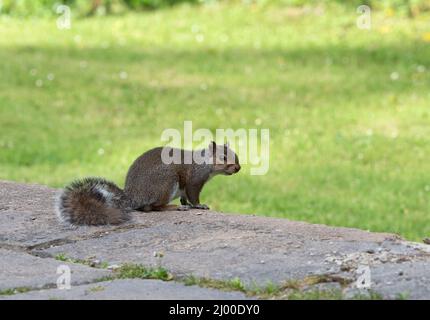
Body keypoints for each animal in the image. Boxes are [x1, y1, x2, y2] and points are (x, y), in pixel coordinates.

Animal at [55, 141, 240, 226]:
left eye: (236, 155)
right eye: (223, 157)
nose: (238, 168)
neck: (203, 163)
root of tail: (132, 196)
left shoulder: (184, 189)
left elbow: (184, 197)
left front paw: (186, 203)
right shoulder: (194, 180)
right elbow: (193, 195)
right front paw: (199, 205)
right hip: (166, 182)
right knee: (154, 207)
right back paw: (174, 207)